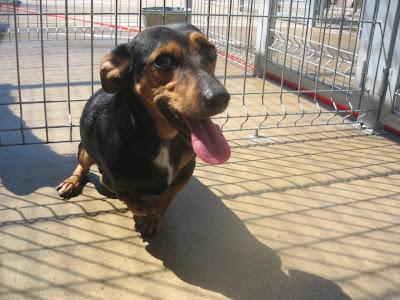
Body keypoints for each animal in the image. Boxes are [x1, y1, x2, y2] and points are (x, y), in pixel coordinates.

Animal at [56, 24, 231, 237]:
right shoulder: (112, 180)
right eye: (162, 61)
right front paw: (143, 210)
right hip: (85, 149)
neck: (163, 140)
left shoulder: (186, 169)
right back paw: (72, 182)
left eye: (210, 50)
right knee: (82, 165)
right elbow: (128, 197)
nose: (220, 98)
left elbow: (167, 196)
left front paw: (153, 218)